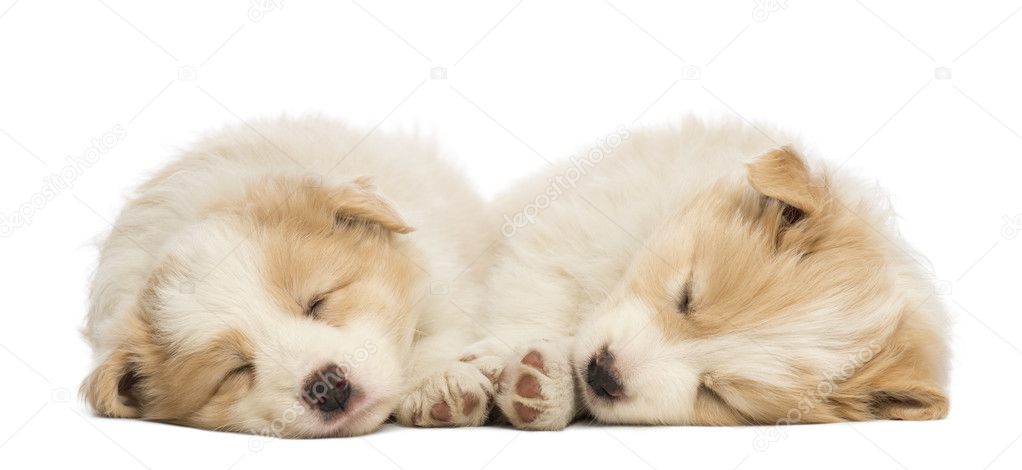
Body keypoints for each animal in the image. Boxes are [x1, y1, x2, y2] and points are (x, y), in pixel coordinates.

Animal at [412, 116, 948, 429]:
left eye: (719, 394)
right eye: (687, 296)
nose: (603, 374)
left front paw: (544, 385)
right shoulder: (569, 234)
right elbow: (532, 299)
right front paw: (496, 357)